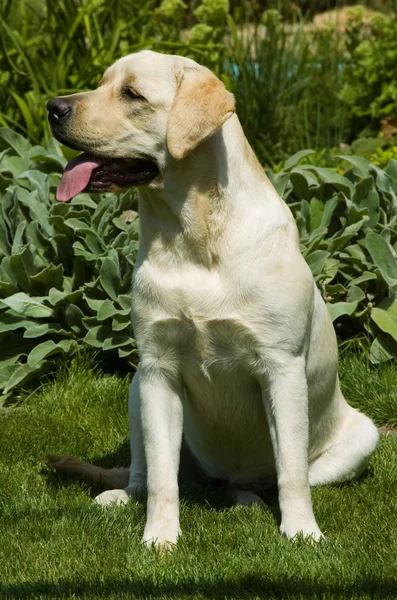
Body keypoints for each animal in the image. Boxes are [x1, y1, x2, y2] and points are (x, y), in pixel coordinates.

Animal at [46, 50, 378, 548]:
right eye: (101, 83)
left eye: (132, 94)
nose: (53, 108)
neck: (194, 238)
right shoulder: (158, 369)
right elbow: (163, 476)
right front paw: (160, 538)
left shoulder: (281, 368)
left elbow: (292, 472)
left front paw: (302, 532)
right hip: (136, 389)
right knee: (147, 471)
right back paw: (125, 495)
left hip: (365, 436)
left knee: (284, 477)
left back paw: (250, 501)